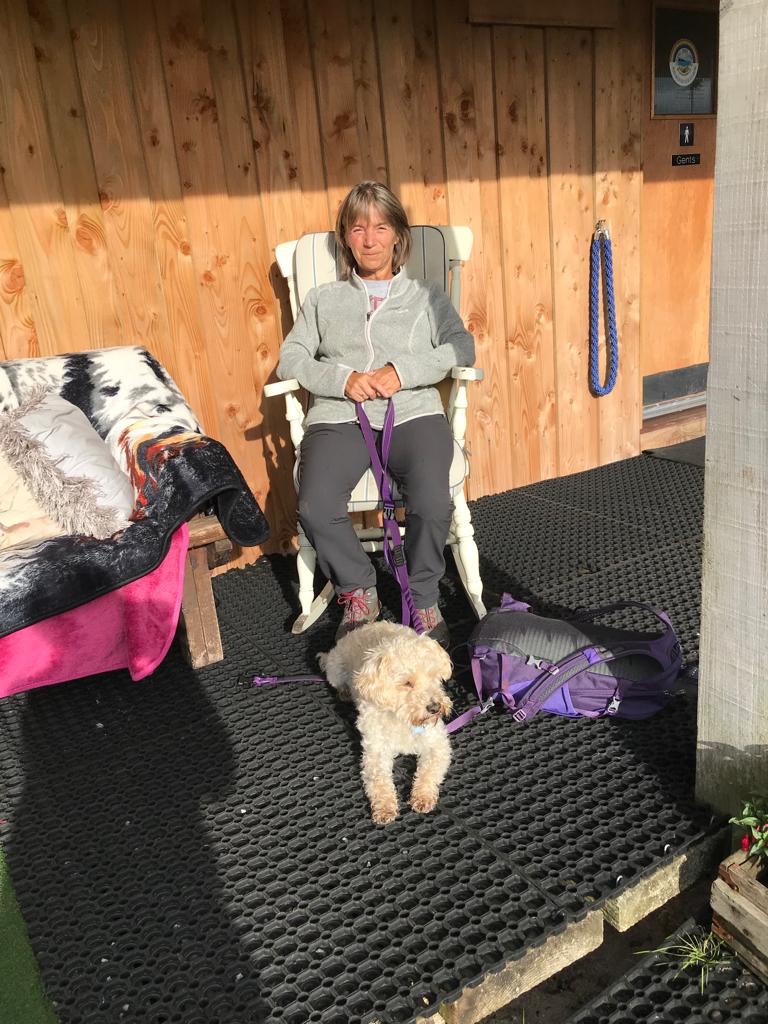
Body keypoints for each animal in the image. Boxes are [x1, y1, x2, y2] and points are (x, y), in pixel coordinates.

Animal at [319, 621, 453, 825]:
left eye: (433, 676)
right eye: (407, 683)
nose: (435, 707)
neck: (402, 718)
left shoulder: (438, 744)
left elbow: (429, 771)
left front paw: (422, 796)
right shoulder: (375, 751)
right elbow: (379, 780)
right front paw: (385, 808)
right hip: (334, 669)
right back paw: (345, 692)